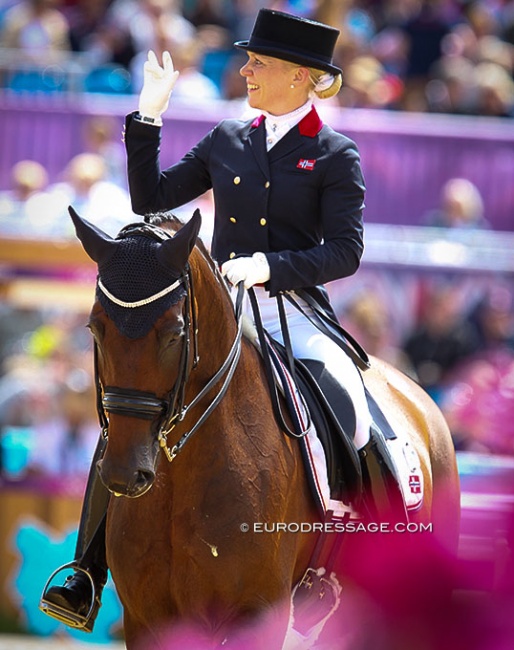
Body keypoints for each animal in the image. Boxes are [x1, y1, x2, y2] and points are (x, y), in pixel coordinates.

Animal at [70, 208, 458, 648]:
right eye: (95, 328)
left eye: (174, 333)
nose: (124, 472)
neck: (182, 476)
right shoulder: (146, 619)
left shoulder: (255, 616)